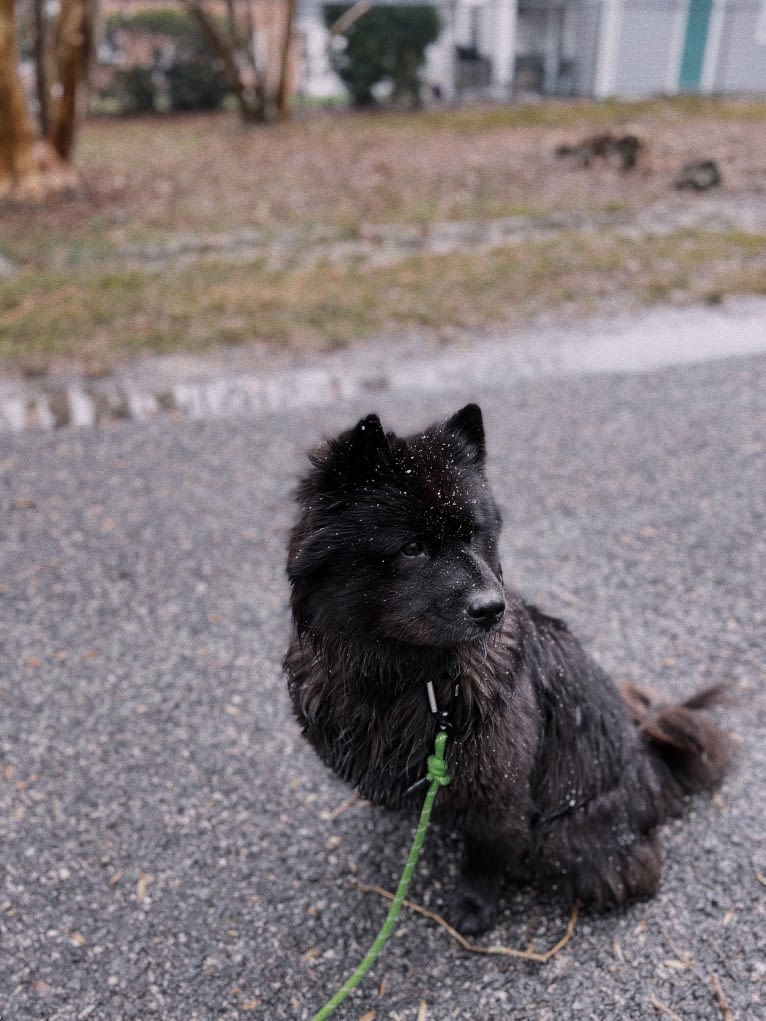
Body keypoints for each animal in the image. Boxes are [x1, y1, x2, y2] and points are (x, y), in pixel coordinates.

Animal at [285, 404, 727, 935]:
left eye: (474, 533)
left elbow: (486, 851)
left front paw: (475, 904)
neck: (406, 681)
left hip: (568, 836)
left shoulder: (498, 793)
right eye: (412, 548)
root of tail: (650, 762)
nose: (490, 608)